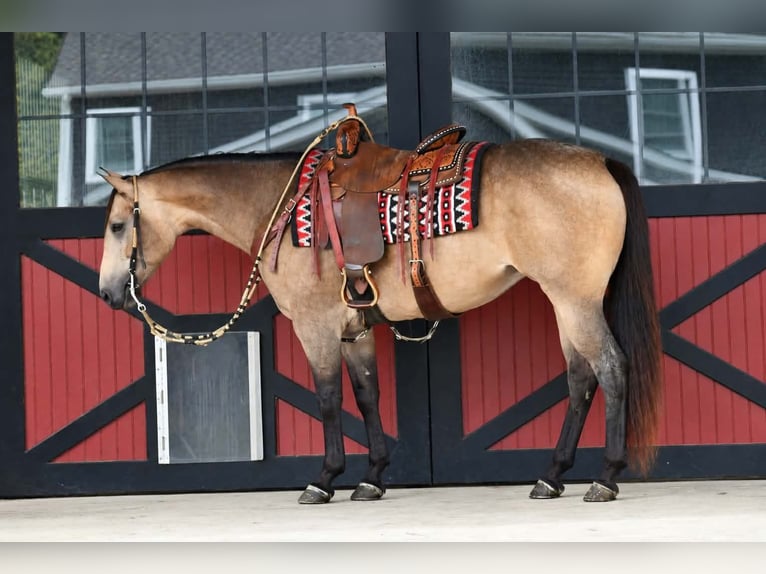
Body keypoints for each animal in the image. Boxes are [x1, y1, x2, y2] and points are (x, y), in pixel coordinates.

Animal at [98, 130, 662, 504]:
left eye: (118, 225)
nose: (107, 293)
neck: (279, 207)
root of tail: (600, 161)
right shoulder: (354, 331)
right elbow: (367, 396)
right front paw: (371, 478)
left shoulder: (315, 327)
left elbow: (328, 398)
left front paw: (324, 480)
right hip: (567, 302)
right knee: (581, 379)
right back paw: (552, 475)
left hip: (575, 300)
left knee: (611, 369)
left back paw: (605, 477)